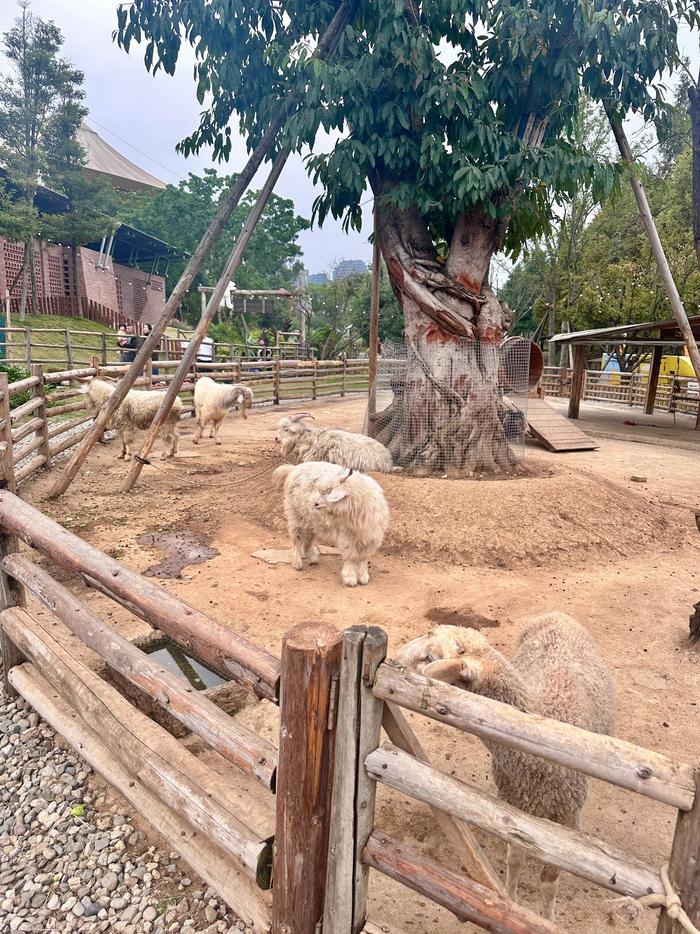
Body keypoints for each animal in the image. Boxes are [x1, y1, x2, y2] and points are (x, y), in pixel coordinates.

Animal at [396, 616, 616, 920]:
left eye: (429, 657)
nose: (394, 659)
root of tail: (557, 614)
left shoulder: (569, 815)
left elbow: (549, 882)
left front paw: (547, 919)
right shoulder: (514, 805)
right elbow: (515, 860)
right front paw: (510, 903)